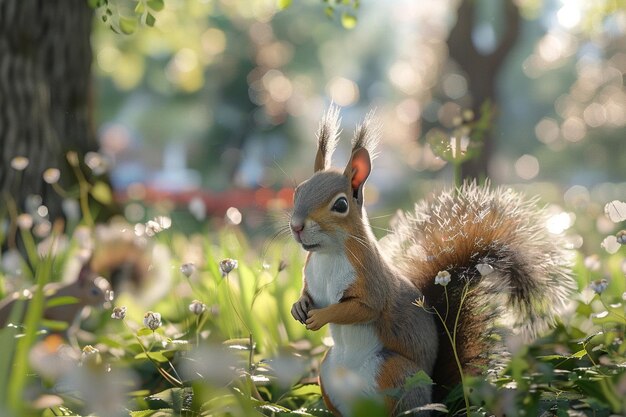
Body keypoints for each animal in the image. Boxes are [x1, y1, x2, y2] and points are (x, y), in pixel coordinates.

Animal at [288, 105, 572, 414]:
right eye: (297, 190)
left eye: (340, 205)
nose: (296, 226)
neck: (327, 255)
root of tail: (437, 396)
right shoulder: (312, 280)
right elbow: (309, 296)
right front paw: (299, 308)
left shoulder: (370, 280)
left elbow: (361, 308)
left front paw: (321, 316)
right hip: (327, 375)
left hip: (393, 372)